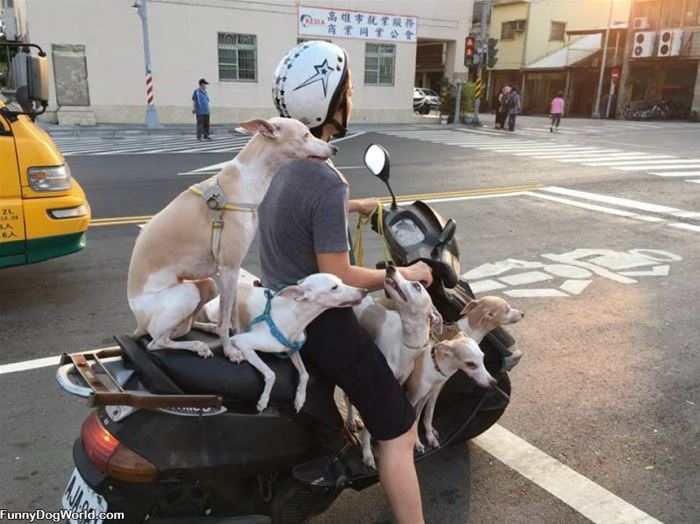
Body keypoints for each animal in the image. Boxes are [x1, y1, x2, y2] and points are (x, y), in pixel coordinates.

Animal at [127, 117, 338, 358]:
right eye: (305, 135)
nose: (334, 148)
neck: (242, 184)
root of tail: (138, 324)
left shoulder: (235, 268)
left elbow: (234, 315)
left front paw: (236, 337)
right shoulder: (228, 267)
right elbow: (225, 316)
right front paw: (230, 350)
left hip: (207, 285)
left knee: (185, 327)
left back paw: (204, 329)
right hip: (186, 294)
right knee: (157, 342)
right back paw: (197, 345)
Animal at [352, 268, 440, 468]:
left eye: (417, 286)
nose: (390, 268)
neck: (403, 343)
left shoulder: (398, 384)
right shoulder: (376, 389)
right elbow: (369, 427)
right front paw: (367, 453)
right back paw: (351, 421)